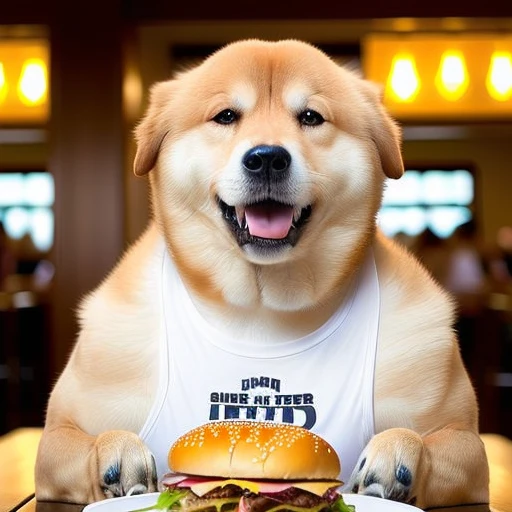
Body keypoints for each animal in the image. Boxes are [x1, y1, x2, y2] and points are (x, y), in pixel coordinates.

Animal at [34, 40, 490, 508]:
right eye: (226, 116)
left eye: (310, 117)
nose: (267, 158)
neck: (261, 309)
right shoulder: (62, 431)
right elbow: (81, 438)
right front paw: (118, 451)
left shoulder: (465, 442)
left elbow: (433, 440)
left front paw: (396, 452)